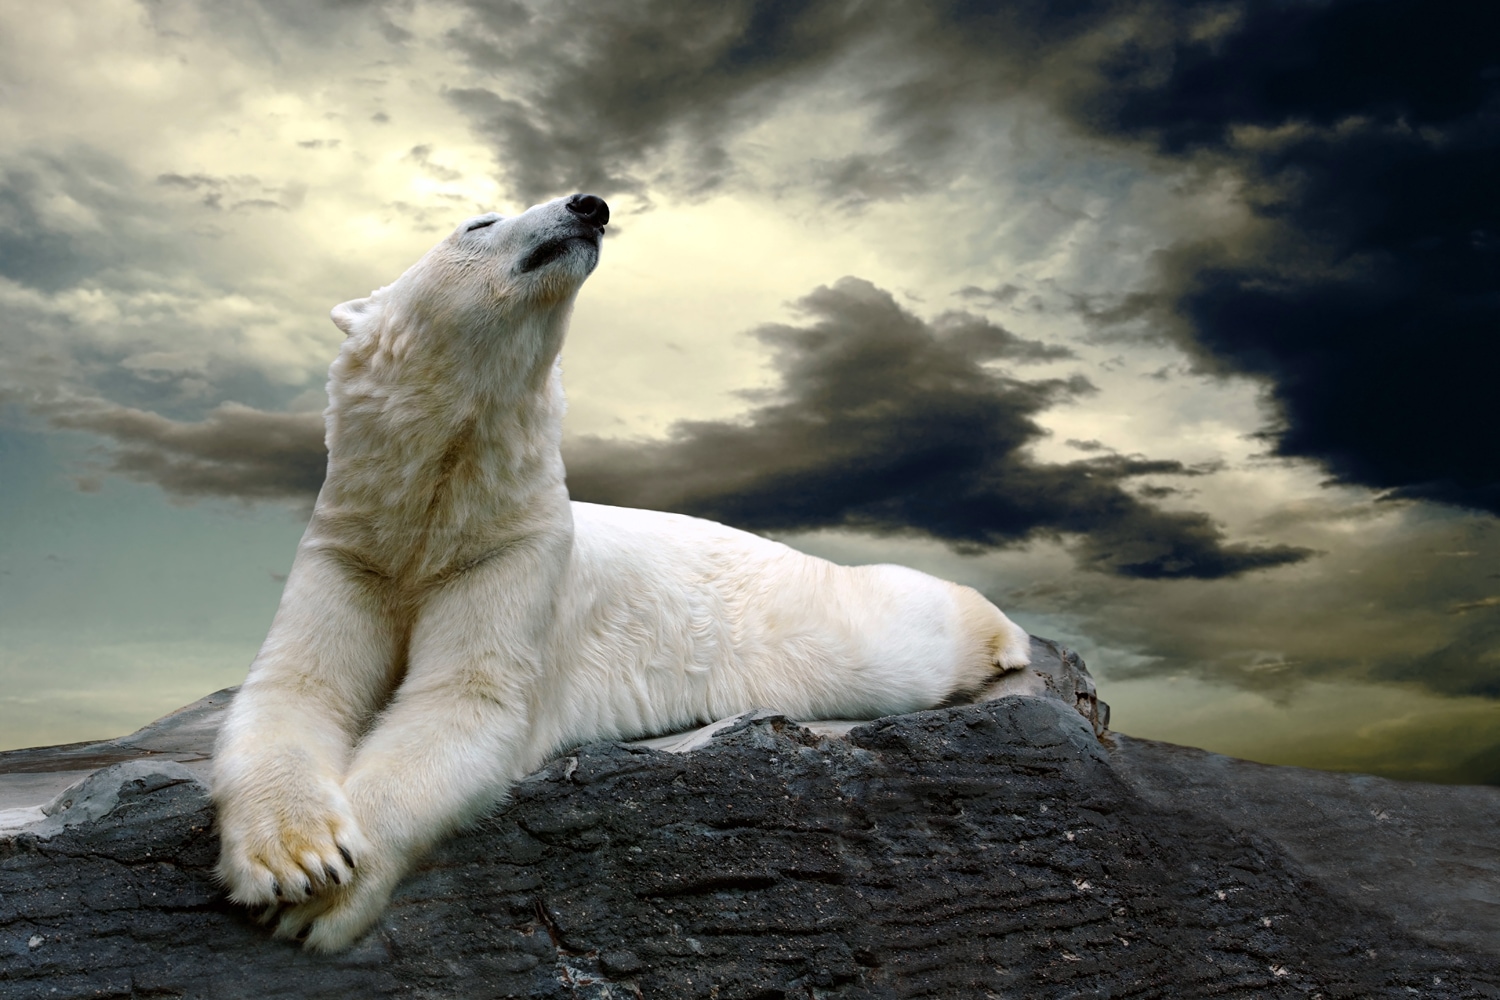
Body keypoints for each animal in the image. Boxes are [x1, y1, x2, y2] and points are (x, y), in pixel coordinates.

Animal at [212, 193, 1032, 952]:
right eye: (479, 223)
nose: (590, 205)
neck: (438, 508)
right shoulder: (353, 546)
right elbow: (297, 686)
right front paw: (297, 858)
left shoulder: (516, 550)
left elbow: (464, 702)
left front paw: (322, 897)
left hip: (794, 617)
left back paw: (1006, 638)